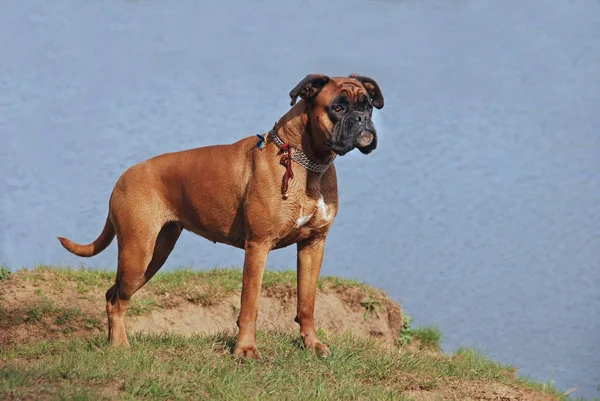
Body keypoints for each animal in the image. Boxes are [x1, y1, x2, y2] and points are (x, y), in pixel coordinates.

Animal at [57, 73, 384, 358]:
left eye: (367, 105)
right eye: (338, 107)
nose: (363, 119)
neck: (310, 163)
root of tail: (123, 177)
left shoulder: (313, 245)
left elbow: (307, 302)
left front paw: (312, 345)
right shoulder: (258, 246)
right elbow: (250, 304)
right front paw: (246, 350)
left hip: (154, 255)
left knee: (112, 294)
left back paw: (114, 341)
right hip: (137, 255)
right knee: (116, 301)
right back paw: (120, 346)